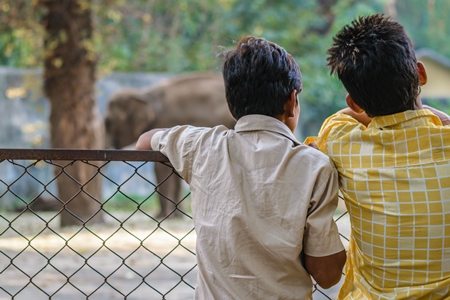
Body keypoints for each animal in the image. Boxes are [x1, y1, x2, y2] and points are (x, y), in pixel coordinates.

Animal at [103, 72, 236, 218]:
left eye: (108, 123)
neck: (144, 93)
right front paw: (176, 215)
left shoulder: (166, 120)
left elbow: (160, 167)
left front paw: (161, 216)